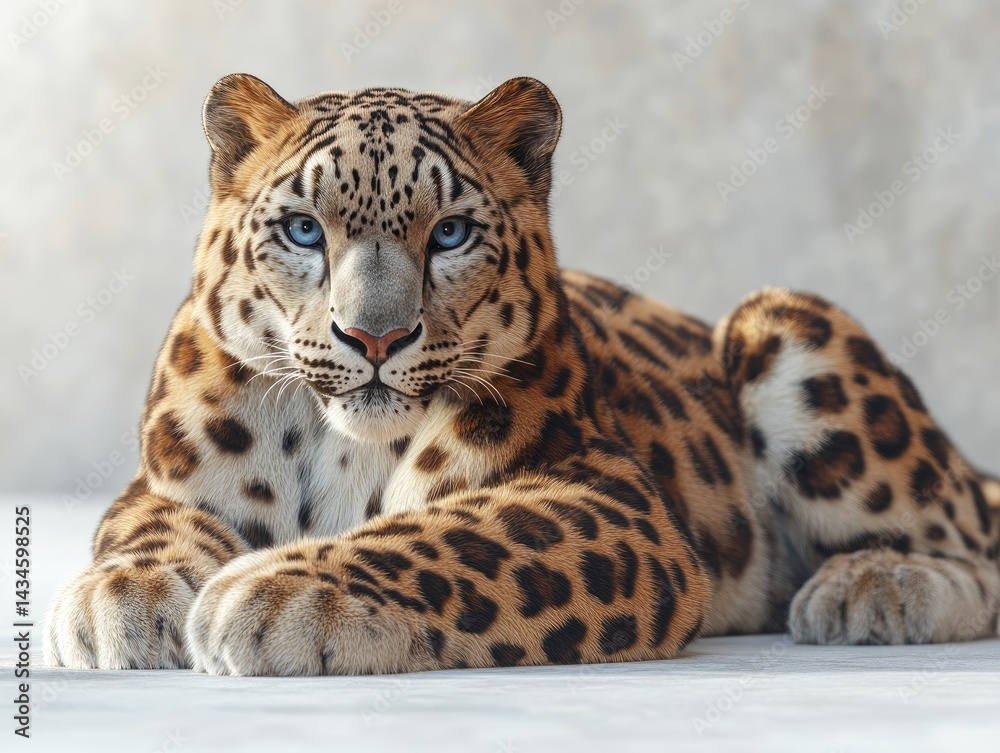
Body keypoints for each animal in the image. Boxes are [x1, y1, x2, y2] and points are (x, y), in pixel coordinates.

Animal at [45, 74, 1000, 675]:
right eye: (305, 230)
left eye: (451, 234)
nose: (375, 336)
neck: (337, 441)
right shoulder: (159, 482)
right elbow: (149, 527)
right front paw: (124, 596)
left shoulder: (601, 490)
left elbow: (452, 535)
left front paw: (281, 588)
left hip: (783, 321)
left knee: (974, 543)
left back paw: (871, 586)